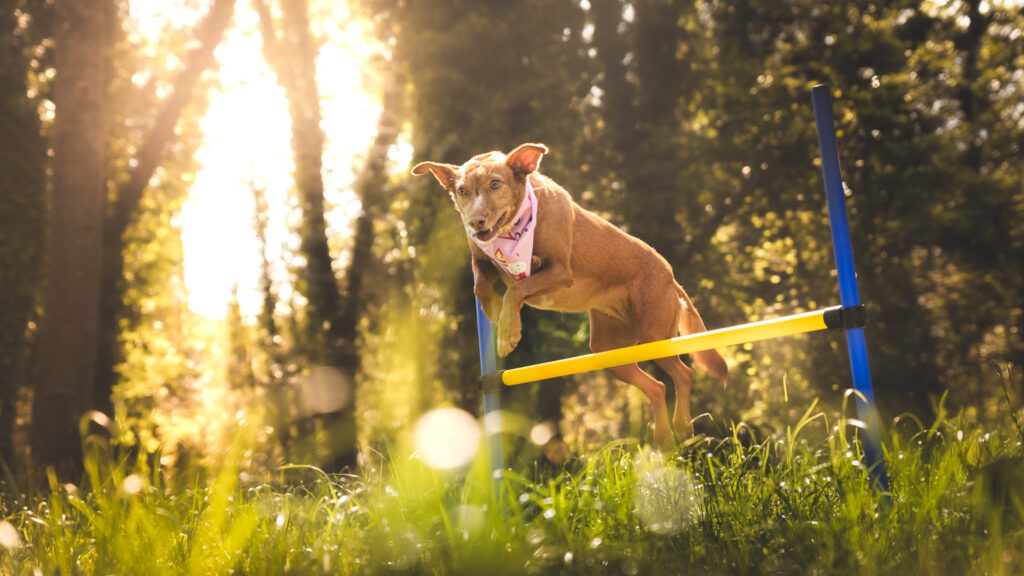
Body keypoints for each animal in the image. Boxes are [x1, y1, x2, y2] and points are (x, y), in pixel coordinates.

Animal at [409, 142, 729, 444]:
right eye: (462, 191)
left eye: (495, 184)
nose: (475, 221)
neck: (513, 229)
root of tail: (670, 275)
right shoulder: (482, 261)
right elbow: (481, 285)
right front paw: (496, 313)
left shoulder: (560, 271)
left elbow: (518, 287)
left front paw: (508, 331)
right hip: (609, 351)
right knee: (658, 387)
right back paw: (663, 438)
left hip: (655, 335)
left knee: (684, 374)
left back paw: (682, 426)